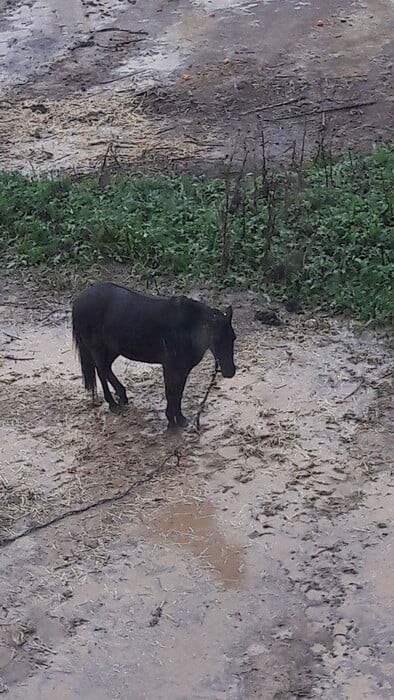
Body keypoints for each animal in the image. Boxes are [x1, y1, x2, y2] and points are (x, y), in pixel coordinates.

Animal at [72, 284, 235, 426]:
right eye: (216, 339)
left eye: (233, 338)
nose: (230, 372)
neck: (187, 328)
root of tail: (78, 301)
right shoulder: (170, 365)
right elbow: (172, 391)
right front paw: (173, 419)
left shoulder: (182, 368)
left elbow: (178, 391)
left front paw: (178, 418)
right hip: (97, 347)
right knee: (102, 369)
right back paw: (114, 403)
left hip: (112, 349)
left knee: (104, 369)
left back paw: (120, 398)